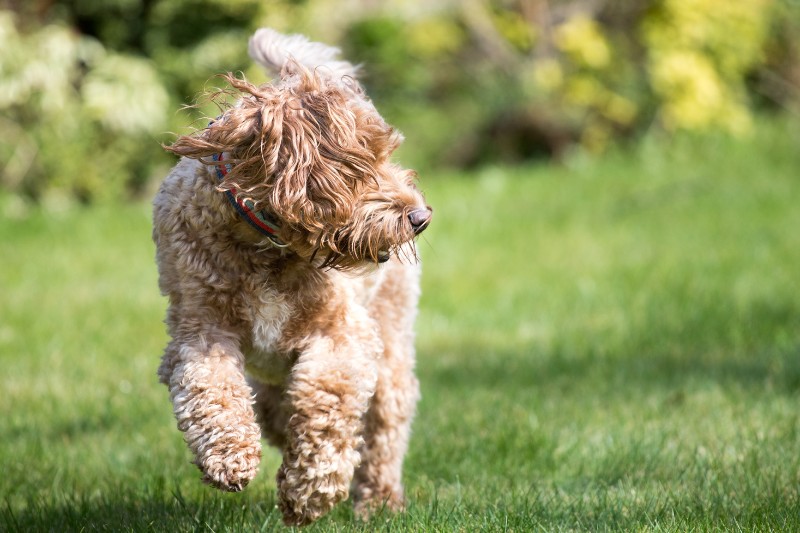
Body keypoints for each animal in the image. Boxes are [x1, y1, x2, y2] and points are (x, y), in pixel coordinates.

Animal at [153, 29, 434, 524]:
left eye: (389, 155)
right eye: (363, 164)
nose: (420, 217)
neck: (267, 246)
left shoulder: (342, 335)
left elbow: (327, 405)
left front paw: (309, 491)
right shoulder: (201, 329)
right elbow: (209, 387)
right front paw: (229, 456)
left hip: (389, 340)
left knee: (384, 424)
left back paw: (378, 500)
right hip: (269, 376)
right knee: (274, 411)